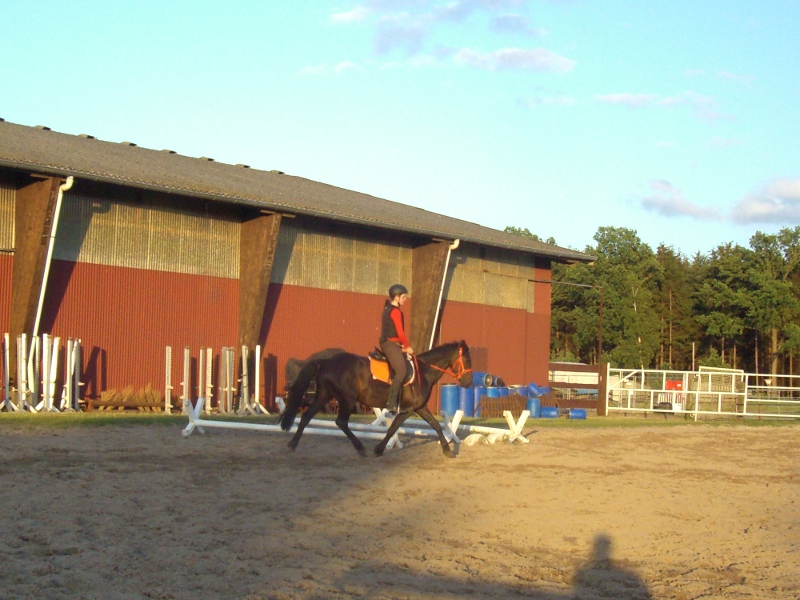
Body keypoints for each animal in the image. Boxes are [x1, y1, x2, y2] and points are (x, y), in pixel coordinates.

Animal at [279, 340, 473, 458]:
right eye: (467, 359)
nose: (468, 383)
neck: (423, 372)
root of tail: (326, 362)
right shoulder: (408, 409)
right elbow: (393, 428)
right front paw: (379, 449)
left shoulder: (420, 407)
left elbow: (436, 425)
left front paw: (447, 449)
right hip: (347, 400)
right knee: (341, 422)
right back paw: (360, 448)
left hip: (324, 396)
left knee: (306, 416)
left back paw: (292, 444)